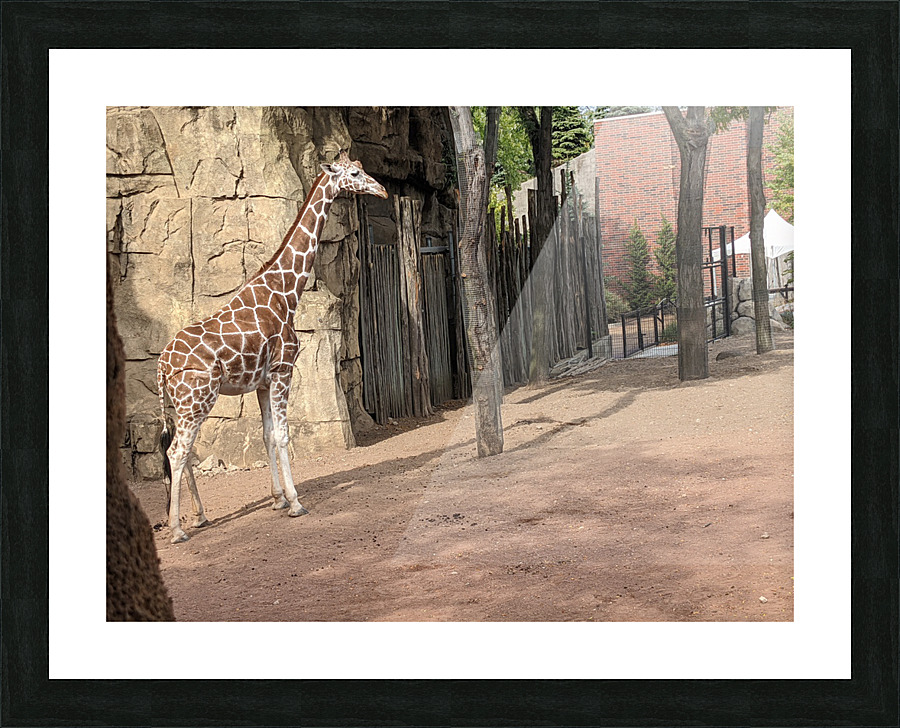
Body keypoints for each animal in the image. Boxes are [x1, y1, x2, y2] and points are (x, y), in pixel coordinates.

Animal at [157, 151, 388, 543]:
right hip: (197, 398)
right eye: (355, 173)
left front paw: (278, 498)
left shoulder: (262, 382)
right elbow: (282, 435)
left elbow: (266, 436)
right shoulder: (284, 370)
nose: (383, 190)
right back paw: (177, 530)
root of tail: (160, 366)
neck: (285, 293)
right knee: (177, 451)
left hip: (182, 404)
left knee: (184, 452)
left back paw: (200, 516)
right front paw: (295, 503)